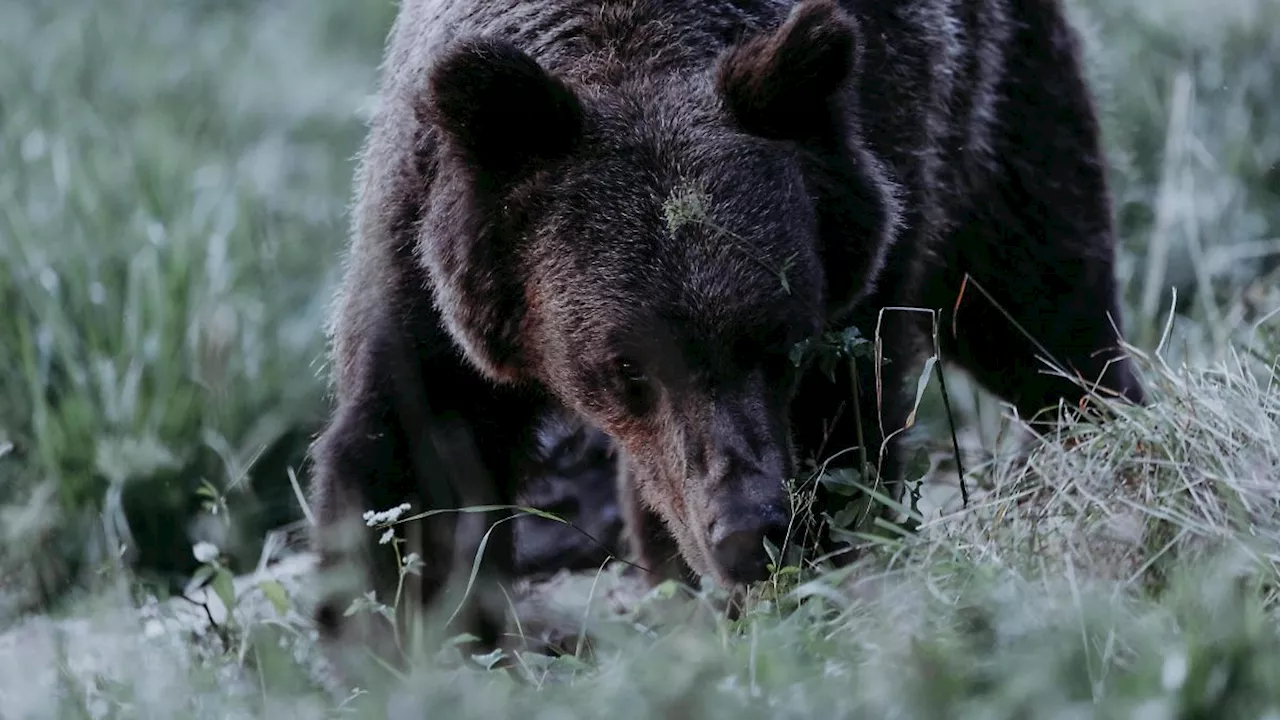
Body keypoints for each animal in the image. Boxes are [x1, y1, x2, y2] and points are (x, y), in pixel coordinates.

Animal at [312, 0, 1152, 666]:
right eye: (626, 365)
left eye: (774, 341)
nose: (749, 531)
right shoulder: (432, 271)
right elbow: (411, 469)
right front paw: (406, 644)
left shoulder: (871, 224)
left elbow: (842, 438)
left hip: (994, 104)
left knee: (1041, 294)